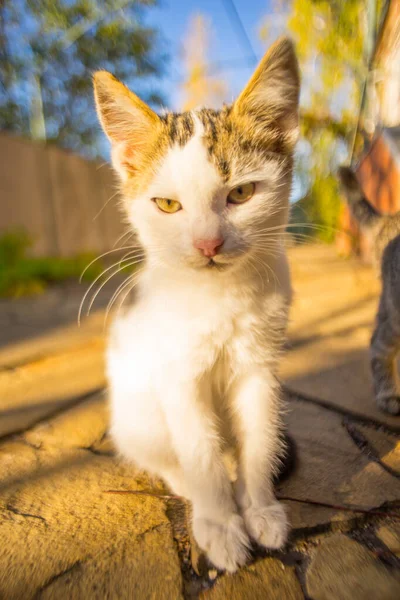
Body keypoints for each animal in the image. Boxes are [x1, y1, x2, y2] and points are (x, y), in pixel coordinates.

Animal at [94, 36, 300, 572]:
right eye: (167, 205)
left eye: (242, 192)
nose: (208, 244)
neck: (219, 297)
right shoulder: (177, 374)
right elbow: (200, 450)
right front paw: (221, 525)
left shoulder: (259, 366)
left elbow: (259, 435)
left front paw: (260, 507)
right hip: (136, 415)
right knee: (164, 454)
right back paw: (189, 486)